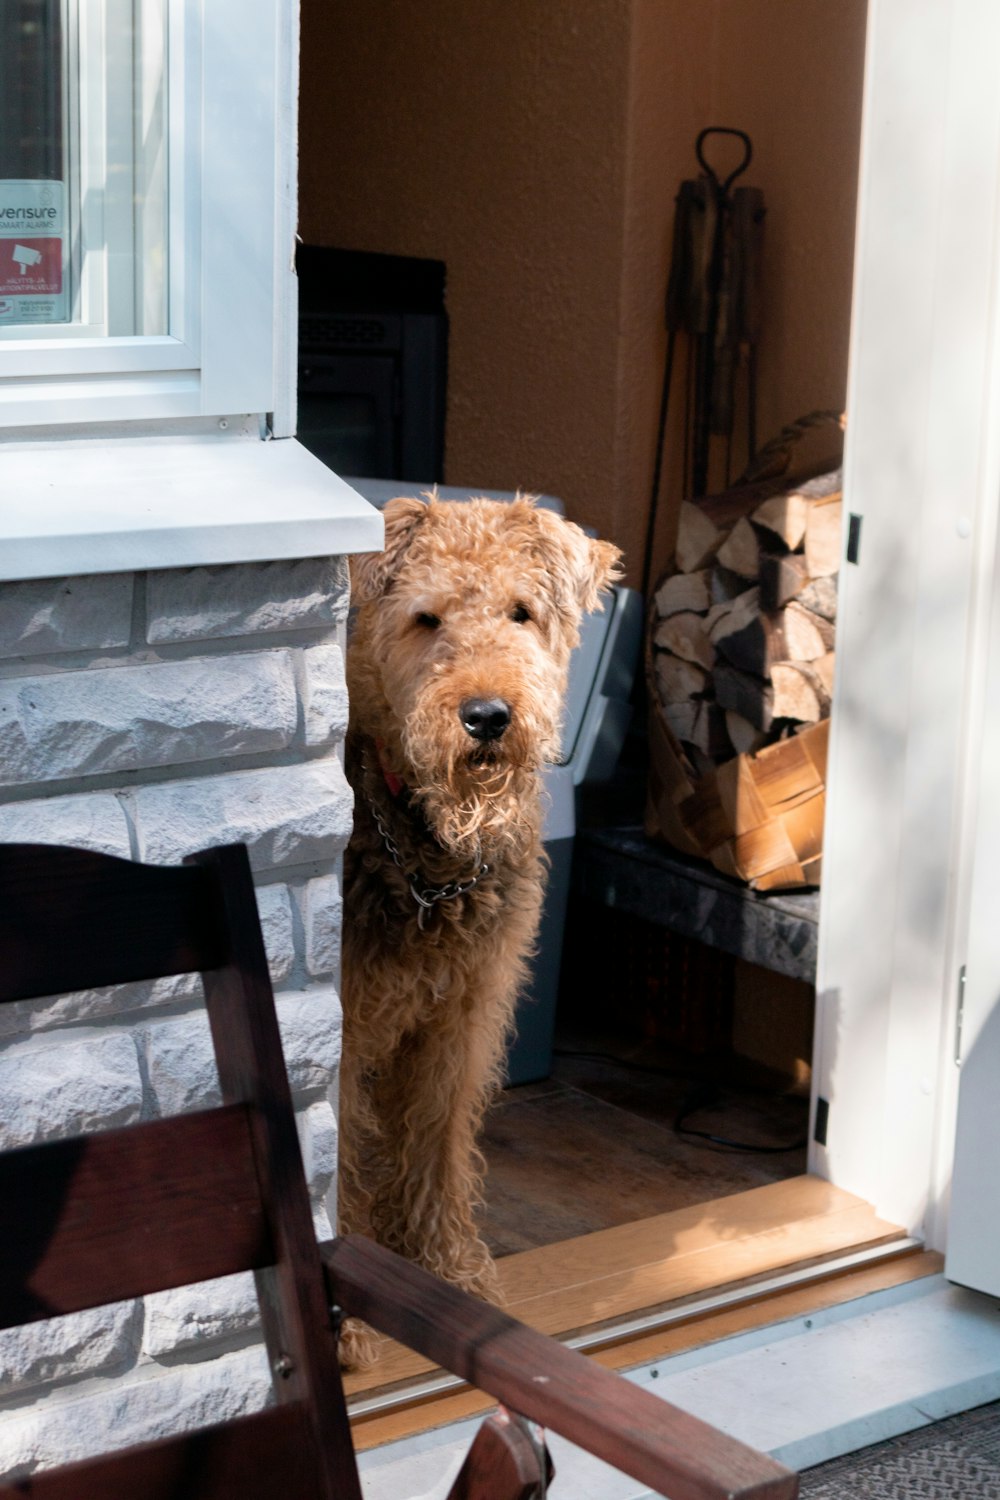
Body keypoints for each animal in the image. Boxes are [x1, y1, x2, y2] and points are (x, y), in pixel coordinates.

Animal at [344, 498, 620, 1368]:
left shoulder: (462, 1015)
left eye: (521, 613)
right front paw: (348, 1320)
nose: (488, 717)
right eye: (426, 618)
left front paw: (450, 1273)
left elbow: (438, 1141)